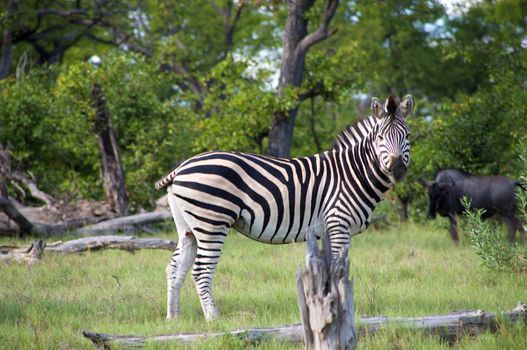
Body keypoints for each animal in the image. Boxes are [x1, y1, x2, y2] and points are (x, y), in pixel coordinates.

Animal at [155, 94, 414, 322]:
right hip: (212, 223)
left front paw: (327, 304)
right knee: (201, 271)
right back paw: (214, 319)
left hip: (188, 227)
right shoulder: (339, 224)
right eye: (380, 137)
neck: (353, 173)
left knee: (174, 268)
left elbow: (328, 270)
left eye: (408, 135)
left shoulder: (328, 229)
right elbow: (340, 270)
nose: (397, 167)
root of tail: (180, 168)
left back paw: (173, 318)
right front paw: (342, 308)